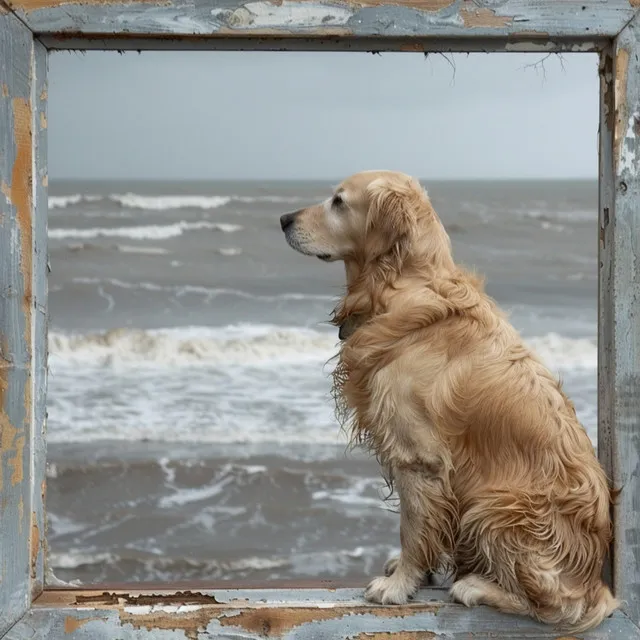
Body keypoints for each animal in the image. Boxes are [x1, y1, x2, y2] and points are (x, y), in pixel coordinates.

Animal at [282, 169, 620, 632]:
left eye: (338, 201)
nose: (283, 219)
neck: (398, 285)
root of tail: (597, 583)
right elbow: (424, 525)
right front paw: (412, 574)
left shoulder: (418, 456)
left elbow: (413, 525)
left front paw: (399, 585)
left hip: (495, 505)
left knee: (557, 605)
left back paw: (476, 586)